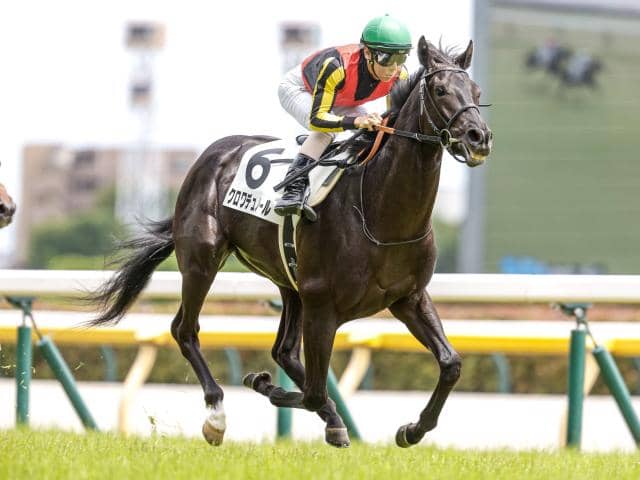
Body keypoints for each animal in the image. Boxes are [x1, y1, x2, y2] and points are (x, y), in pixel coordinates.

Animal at [88, 37, 492, 448]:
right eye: (441, 90)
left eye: (476, 92)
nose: (479, 138)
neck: (380, 211)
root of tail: (213, 154)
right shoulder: (323, 305)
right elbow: (312, 391)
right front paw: (262, 383)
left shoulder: (408, 297)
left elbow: (451, 364)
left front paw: (412, 429)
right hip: (203, 261)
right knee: (186, 331)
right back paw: (217, 415)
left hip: (289, 282)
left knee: (283, 352)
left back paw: (331, 419)